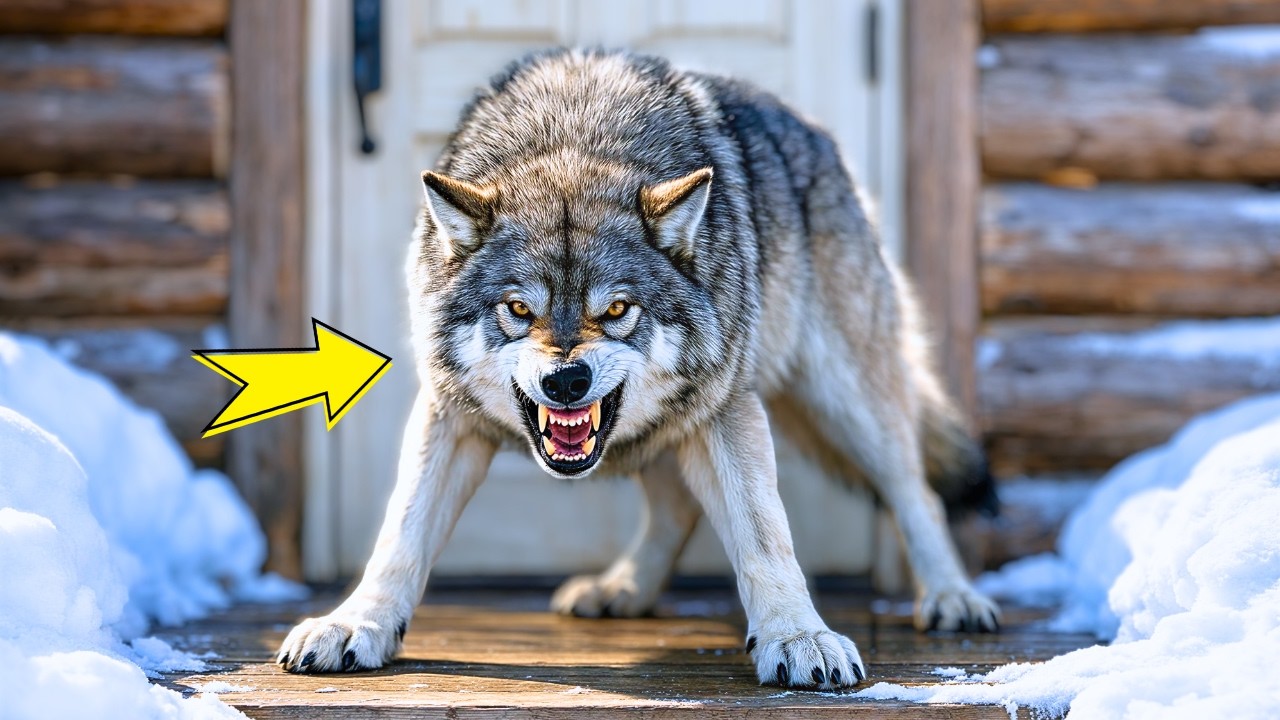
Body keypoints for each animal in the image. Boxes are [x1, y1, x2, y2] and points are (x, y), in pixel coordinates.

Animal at [278, 48, 1000, 688]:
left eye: (618, 309)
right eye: (518, 309)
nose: (566, 381)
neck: (573, 134)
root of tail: (816, 134)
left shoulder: (726, 408)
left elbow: (765, 535)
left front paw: (800, 637)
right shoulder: (448, 416)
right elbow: (400, 532)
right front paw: (356, 624)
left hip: (847, 399)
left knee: (915, 492)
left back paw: (953, 597)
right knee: (677, 507)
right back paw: (622, 588)